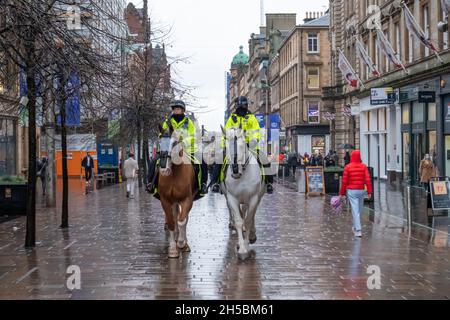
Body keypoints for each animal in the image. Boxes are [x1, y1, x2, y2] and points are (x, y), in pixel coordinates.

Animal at [157, 122, 198, 258]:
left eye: (174, 143)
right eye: (159, 141)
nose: (164, 169)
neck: (174, 174)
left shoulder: (187, 199)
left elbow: (182, 221)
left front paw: (181, 243)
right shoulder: (165, 200)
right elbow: (171, 222)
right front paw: (173, 249)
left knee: (184, 219)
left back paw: (184, 244)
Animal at [220, 125, 266, 260]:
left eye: (242, 145)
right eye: (226, 146)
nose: (235, 170)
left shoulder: (254, 198)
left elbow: (249, 220)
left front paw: (247, 244)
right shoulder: (231, 198)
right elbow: (239, 221)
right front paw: (241, 249)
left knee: (251, 214)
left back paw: (252, 235)